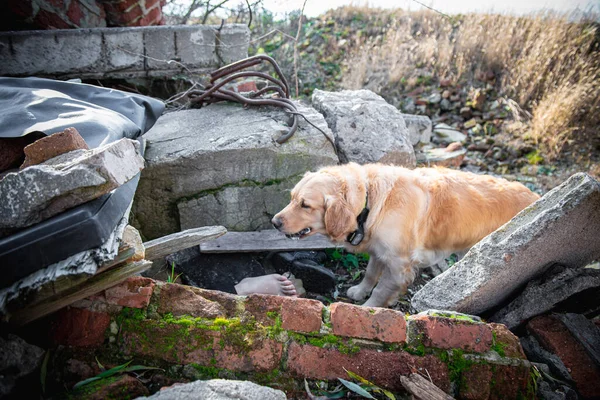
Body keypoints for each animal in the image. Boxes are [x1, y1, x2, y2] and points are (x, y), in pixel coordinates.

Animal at [272, 164, 540, 308]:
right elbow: (370, 274)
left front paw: (370, 308)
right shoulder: (379, 252)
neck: (370, 201)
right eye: (292, 198)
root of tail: (536, 197)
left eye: (305, 205)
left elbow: (381, 290)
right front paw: (359, 291)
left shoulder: (400, 265)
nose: (274, 222)